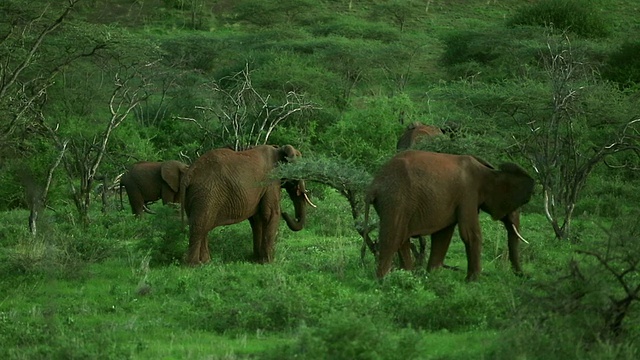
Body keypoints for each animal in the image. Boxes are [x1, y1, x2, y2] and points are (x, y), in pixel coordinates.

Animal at [181, 145, 314, 266]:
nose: (286, 214)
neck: (279, 150)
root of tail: (189, 174)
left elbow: (257, 219)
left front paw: (257, 260)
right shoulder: (271, 182)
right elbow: (271, 214)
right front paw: (269, 263)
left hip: (195, 196)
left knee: (203, 226)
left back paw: (206, 262)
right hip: (206, 194)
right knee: (200, 225)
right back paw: (195, 265)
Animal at [364, 150, 536, 280]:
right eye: (516, 206)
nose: (526, 275)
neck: (489, 170)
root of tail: (374, 185)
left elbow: (443, 235)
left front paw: (432, 276)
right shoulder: (468, 194)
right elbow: (470, 234)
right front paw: (473, 281)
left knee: (401, 239)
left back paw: (407, 275)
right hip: (397, 198)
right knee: (393, 238)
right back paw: (383, 280)